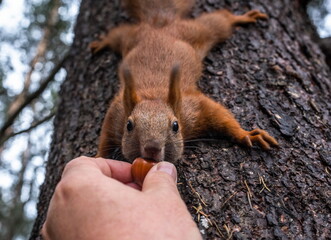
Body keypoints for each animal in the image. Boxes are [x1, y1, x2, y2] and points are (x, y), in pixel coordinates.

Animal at [89, 0, 278, 162]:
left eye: (175, 126)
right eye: (128, 125)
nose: (152, 149)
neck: (155, 97)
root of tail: (160, 25)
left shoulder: (193, 108)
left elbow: (219, 114)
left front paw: (245, 134)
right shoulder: (117, 113)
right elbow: (105, 133)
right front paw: (98, 157)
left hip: (194, 30)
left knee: (218, 22)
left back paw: (241, 17)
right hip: (131, 37)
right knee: (117, 35)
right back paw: (103, 41)